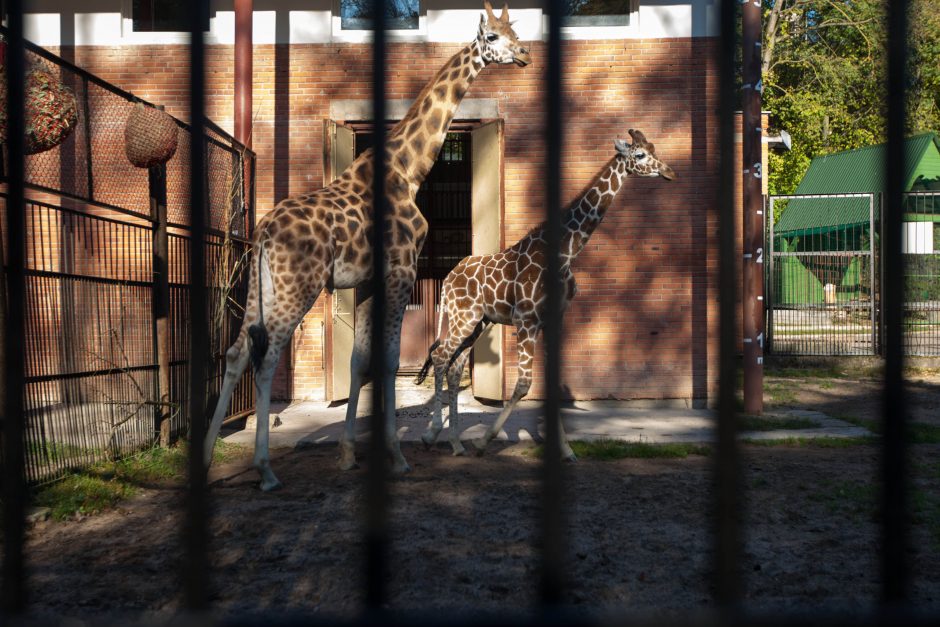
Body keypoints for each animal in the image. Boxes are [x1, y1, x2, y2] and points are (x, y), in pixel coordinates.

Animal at [203, 1, 532, 490]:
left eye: (514, 32)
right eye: (492, 37)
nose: (525, 54)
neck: (408, 169)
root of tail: (261, 234)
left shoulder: (365, 280)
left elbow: (359, 362)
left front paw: (347, 454)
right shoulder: (400, 270)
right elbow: (390, 362)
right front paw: (397, 456)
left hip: (261, 288)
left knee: (237, 351)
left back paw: (207, 459)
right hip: (297, 288)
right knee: (267, 359)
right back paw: (265, 470)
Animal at [418, 130, 676, 458]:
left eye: (654, 148)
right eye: (640, 154)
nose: (669, 172)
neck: (566, 254)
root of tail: (448, 278)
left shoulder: (554, 319)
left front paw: (566, 450)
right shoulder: (526, 320)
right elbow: (523, 384)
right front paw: (484, 440)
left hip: (478, 322)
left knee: (455, 366)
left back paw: (454, 443)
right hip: (463, 317)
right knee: (440, 356)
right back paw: (433, 434)